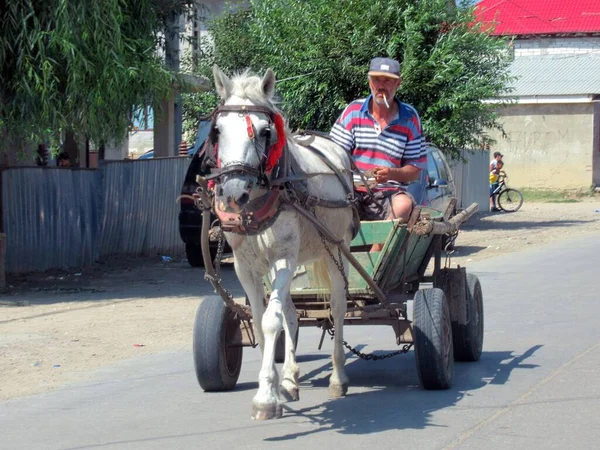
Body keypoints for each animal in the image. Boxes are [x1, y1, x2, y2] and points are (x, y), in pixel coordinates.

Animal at [210, 65, 354, 420]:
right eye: (218, 130)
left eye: (265, 131)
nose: (233, 192)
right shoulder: (245, 268)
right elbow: (261, 320)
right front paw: (275, 386)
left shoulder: (284, 258)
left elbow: (270, 320)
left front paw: (265, 397)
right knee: (291, 312)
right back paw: (290, 378)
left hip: (337, 249)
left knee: (338, 306)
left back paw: (338, 377)